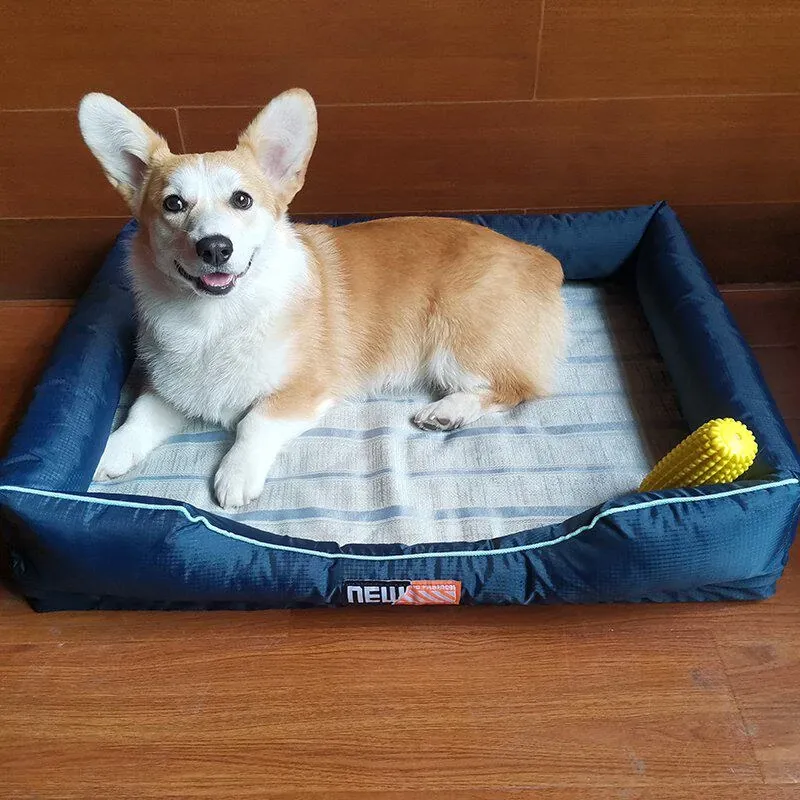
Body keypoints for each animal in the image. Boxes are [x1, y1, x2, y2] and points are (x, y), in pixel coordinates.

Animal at [78, 89, 565, 509]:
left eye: (242, 200)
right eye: (173, 204)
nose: (215, 247)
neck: (216, 318)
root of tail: (541, 257)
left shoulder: (303, 389)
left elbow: (254, 421)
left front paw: (235, 476)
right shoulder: (171, 390)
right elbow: (137, 417)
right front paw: (104, 454)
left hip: (455, 342)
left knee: (516, 388)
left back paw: (448, 410)